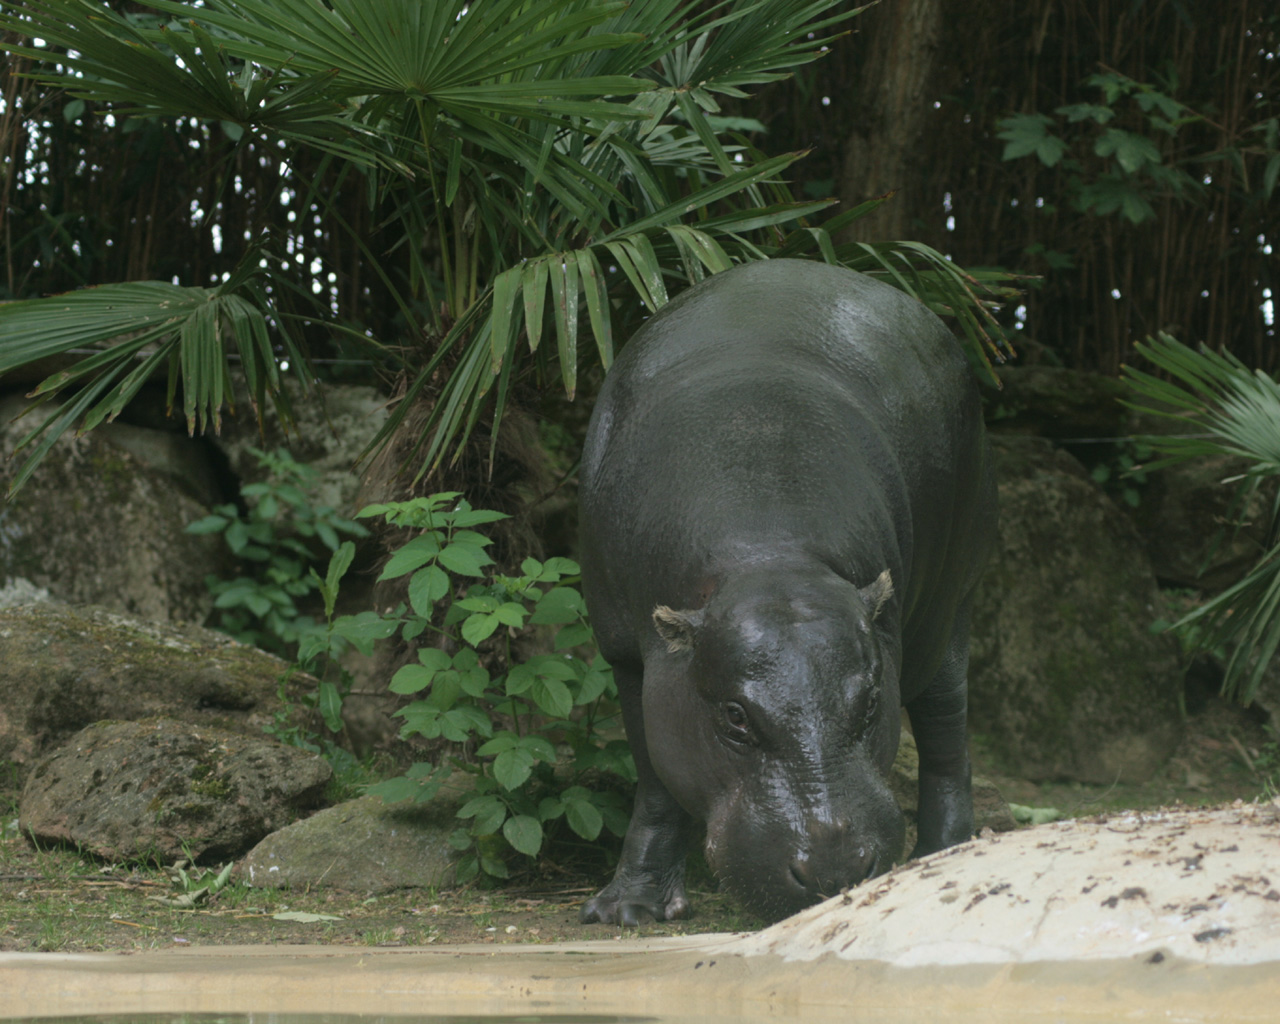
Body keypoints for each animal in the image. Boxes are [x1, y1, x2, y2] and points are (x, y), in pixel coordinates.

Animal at [576, 258, 993, 926]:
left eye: (870, 700)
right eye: (734, 716)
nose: (832, 871)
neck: (768, 555)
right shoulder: (629, 657)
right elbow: (656, 783)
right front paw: (627, 910)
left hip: (953, 601)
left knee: (945, 727)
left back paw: (943, 855)